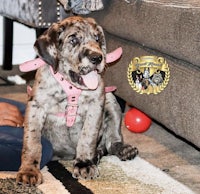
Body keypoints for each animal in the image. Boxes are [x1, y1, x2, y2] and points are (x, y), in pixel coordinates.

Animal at [16, 16, 138, 185]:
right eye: (73, 40)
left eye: (97, 38)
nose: (97, 57)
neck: (70, 87)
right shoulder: (36, 106)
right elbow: (32, 141)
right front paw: (29, 170)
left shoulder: (96, 105)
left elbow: (87, 136)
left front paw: (84, 164)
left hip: (111, 100)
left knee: (112, 141)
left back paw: (123, 150)